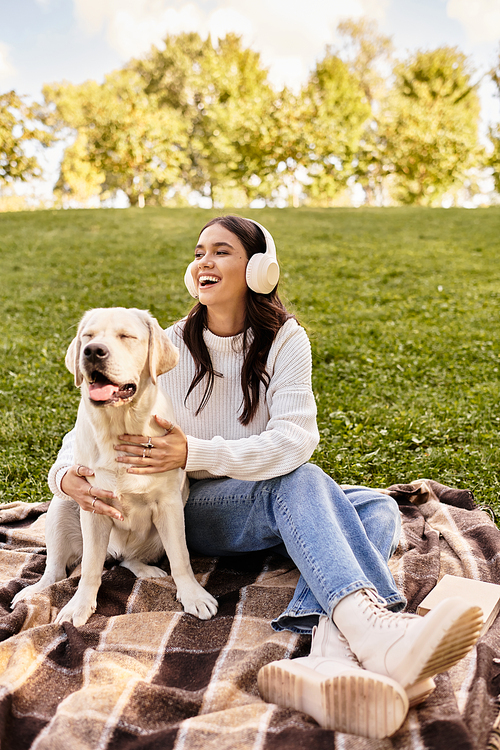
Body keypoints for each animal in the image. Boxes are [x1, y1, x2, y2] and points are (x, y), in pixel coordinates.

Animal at [11, 306, 217, 628]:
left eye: (126, 336)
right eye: (88, 336)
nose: (93, 351)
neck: (119, 429)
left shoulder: (170, 505)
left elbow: (181, 558)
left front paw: (193, 596)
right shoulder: (93, 506)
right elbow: (90, 568)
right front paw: (79, 606)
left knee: (132, 559)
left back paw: (148, 570)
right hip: (63, 506)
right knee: (56, 569)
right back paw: (35, 590)